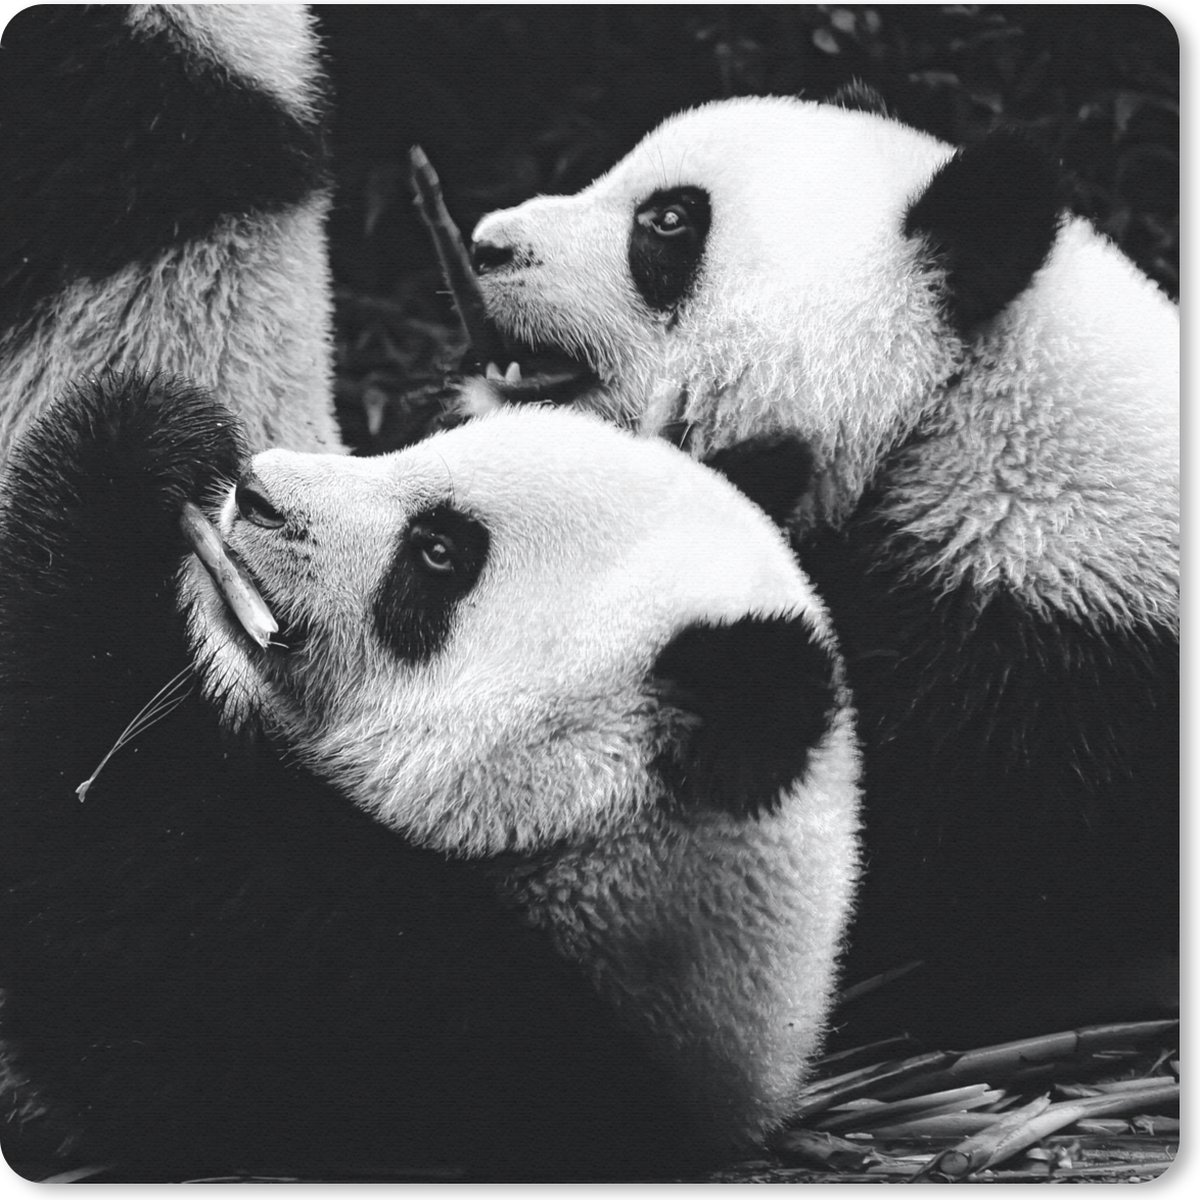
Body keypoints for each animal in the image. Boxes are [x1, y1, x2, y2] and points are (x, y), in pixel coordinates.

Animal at [0, 373, 859, 1181]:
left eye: (439, 552)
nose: (254, 492)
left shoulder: (426, 1011)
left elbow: (109, 869)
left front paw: (117, 458)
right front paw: (177, 431)